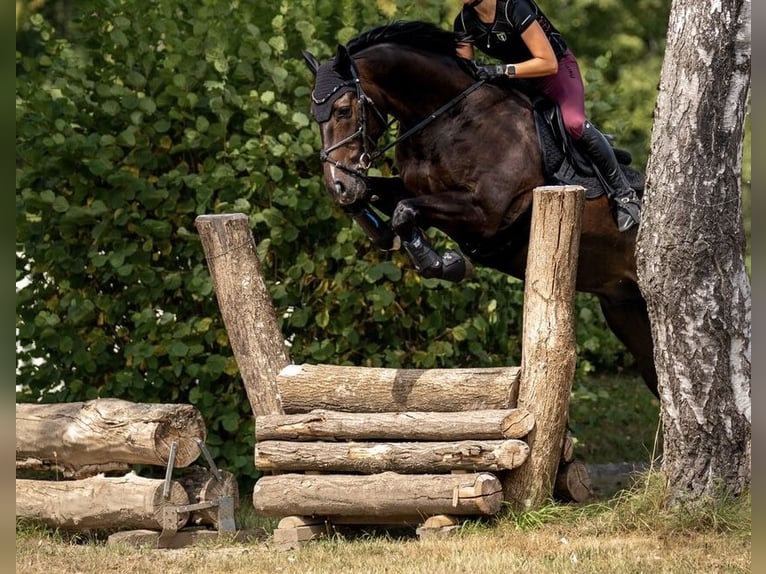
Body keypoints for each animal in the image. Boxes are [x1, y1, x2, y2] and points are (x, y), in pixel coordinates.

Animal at [302, 21, 657, 397]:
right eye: (315, 116)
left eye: (343, 110)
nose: (338, 184)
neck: (449, 118)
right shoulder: (416, 188)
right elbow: (381, 198)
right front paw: (383, 232)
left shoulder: (485, 212)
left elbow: (404, 211)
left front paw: (446, 264)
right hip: (627, 311)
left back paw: (627, 206)